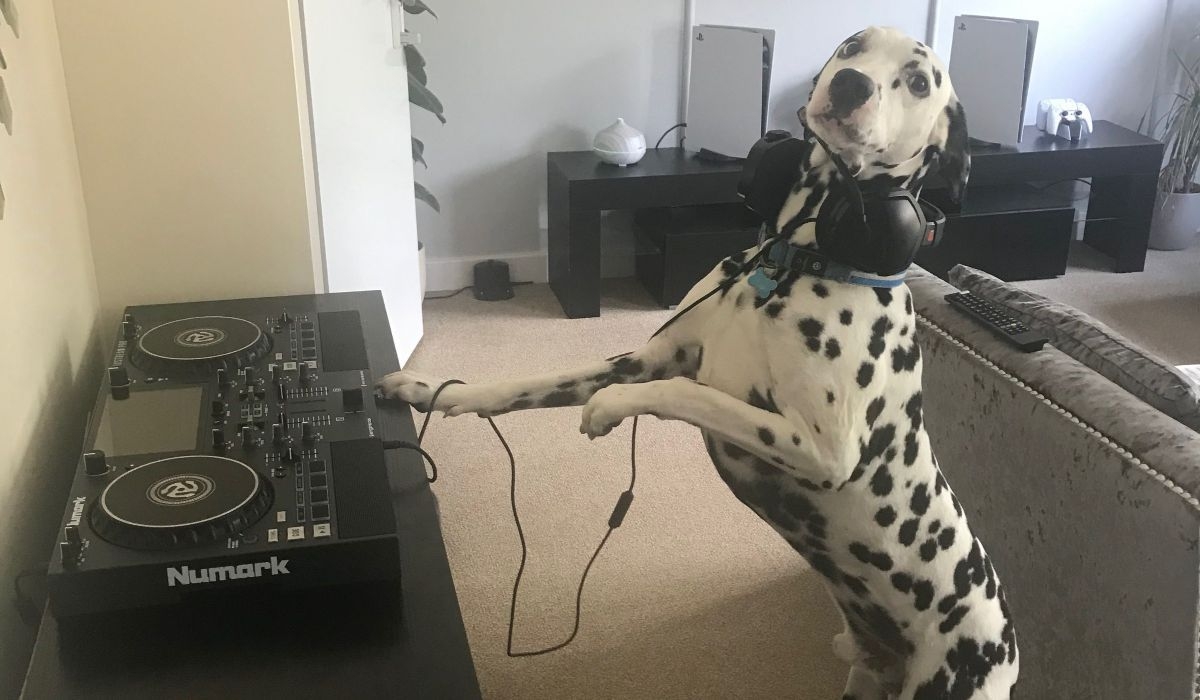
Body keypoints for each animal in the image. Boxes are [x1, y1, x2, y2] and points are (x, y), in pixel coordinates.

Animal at [379, 27, 1017, 700]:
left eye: (919, 81)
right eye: (852, 47)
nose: (851, 86)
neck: (792, 261)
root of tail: (1007, 649)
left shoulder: (822, 449)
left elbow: (691, 393)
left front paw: (608, 408)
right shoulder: (646, 358)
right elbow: (527, 384)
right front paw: (433, 389)